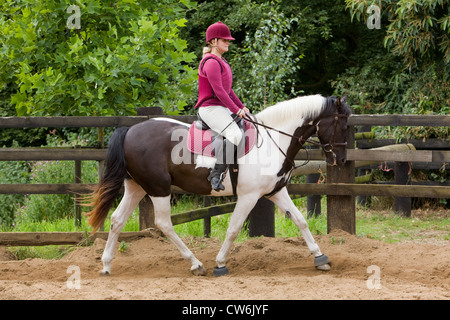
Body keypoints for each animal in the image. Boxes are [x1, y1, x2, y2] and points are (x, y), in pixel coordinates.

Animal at [85, 94, 352, 276]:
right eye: (344, 125)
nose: (340, 160)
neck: (273, 141)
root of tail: (130, 130)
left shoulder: (276, 192)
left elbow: (300, 220)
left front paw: (320, 257)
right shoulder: (249, 196)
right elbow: (233, 229)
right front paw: (221, 263)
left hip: (136, 187)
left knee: (117, 219)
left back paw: (106, 265)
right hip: (158, 189)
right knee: (163, 223)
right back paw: (195, 263)